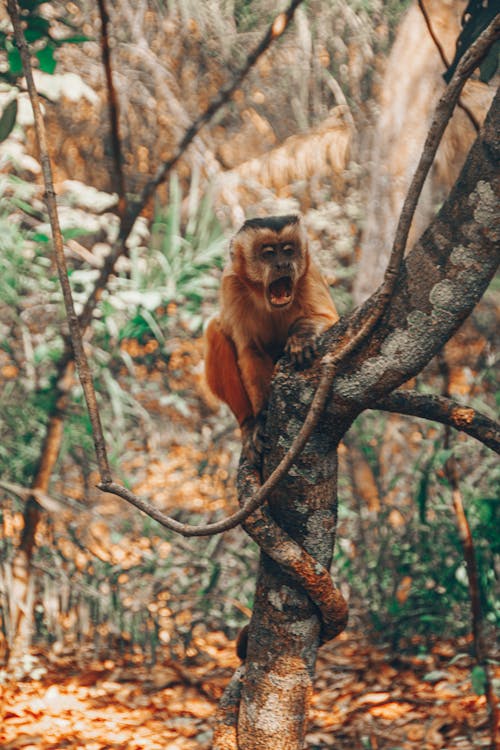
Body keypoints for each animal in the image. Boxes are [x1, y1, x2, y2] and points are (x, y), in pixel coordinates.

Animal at [204, 214, 340, 462]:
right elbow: (250, 351)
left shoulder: (309, 272)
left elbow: (328, 317)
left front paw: (301, 336)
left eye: (288, 251)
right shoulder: (231, 283)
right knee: (214, 331)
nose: (283, 264)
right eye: (268, 253)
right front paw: (259, 419)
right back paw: (248, 423)